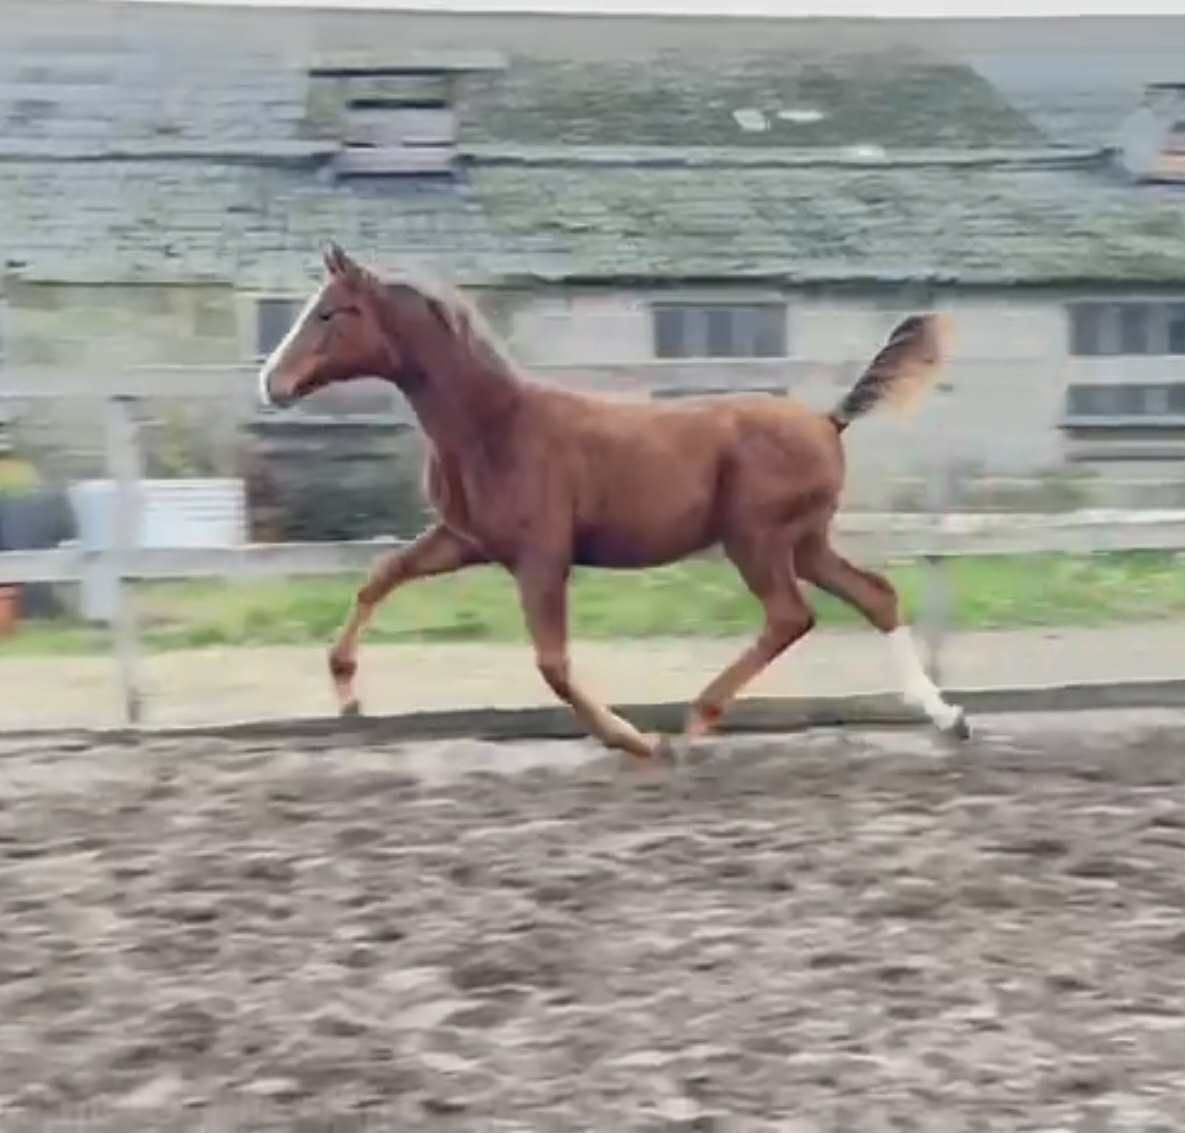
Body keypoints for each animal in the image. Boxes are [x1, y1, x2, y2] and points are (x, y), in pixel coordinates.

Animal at [259, 243, 970, 759]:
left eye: (329, 313)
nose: (271, 382)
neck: (495, 427)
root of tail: (828, 420)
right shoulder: (464, 541)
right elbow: (380, 577)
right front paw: (346, 691)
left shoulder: (542, 556)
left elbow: (552, 663)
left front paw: (633, 739)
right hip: (805, 541)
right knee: (875, 595)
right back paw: (947, 717)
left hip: (757, 539)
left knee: (790, 616)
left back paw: (695, 721)